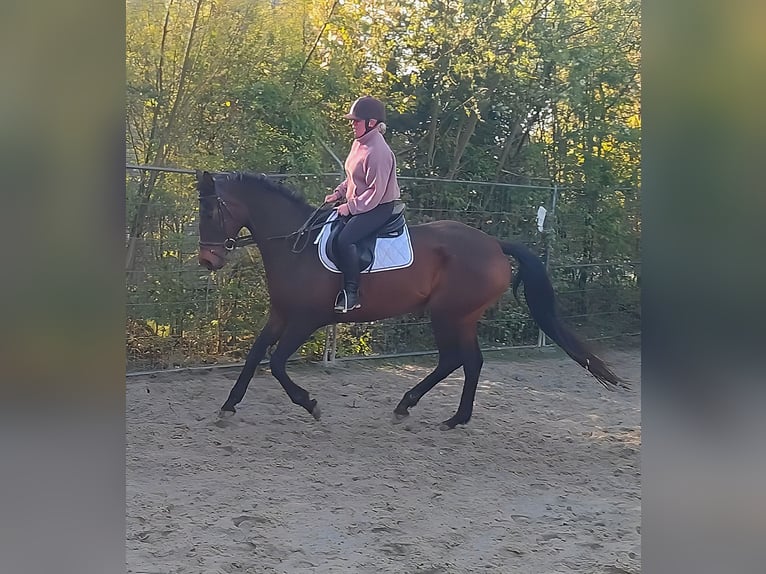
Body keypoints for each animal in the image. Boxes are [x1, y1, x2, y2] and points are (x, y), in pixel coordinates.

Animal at [196, 170, 626, 429]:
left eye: (212, 212)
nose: (208, 261)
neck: (294, 245)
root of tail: (493, 244)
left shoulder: (306, 320)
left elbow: (277, 364)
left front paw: (310, 403)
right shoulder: (281, 315)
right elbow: (254, 356)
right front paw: (228, 406)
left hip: (449, 314)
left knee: (458, 360)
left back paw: (431, 411)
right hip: (459, 317)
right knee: (466, 361)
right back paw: (441, 414)